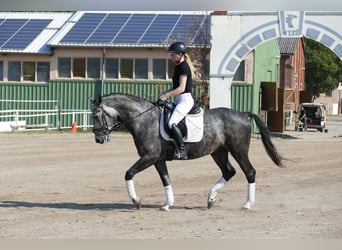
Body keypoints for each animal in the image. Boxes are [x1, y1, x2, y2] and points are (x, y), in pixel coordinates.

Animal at [91, 94, 284, 211]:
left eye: (96, 115)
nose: (99, 139)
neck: (144, 119)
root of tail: (243, 114)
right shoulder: (157, 159)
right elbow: (166, 179)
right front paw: (167, 205)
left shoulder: (149, 157)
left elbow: (128, 173)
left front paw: (136, 201)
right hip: (218, 152)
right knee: (229, 171)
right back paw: (210, 199)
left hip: (239, 150)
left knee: (249, 172)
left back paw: (247, 204)